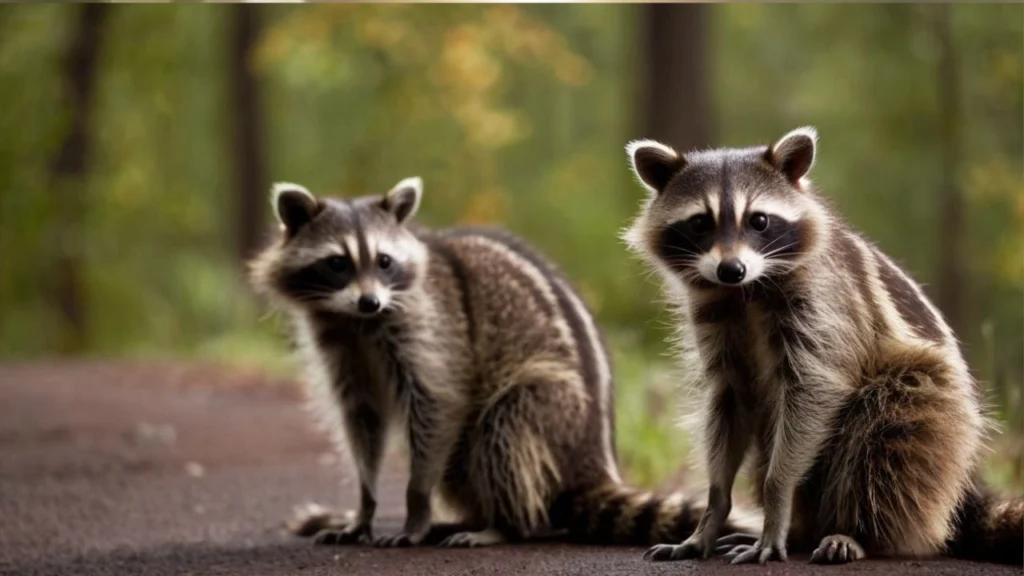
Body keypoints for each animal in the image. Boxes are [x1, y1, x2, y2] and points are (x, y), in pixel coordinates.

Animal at [248, 177, 757, 548]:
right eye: (338, 263)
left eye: (384, 260)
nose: (370, 301)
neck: (357, 321)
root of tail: (593, 462)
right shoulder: (340, 344)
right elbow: (362, 420)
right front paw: (365, 506)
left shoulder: (433, 323)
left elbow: (440, 400)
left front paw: (415, 509)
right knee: (463, 459)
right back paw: (470, 518)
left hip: (557, 410)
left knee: (506, 424)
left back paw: (503, 525)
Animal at [622, 127, 1023, 565]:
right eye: (699, 223)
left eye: (758, 220)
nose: (731, 269)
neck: (746, 291)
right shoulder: (716, 320)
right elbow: (729, 400)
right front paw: (715, 510)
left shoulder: (827, 303)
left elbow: (814, 390)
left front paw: (777, 499)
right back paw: (803, 530)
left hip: (939, 410)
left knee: (888, 429)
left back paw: (856, 532)